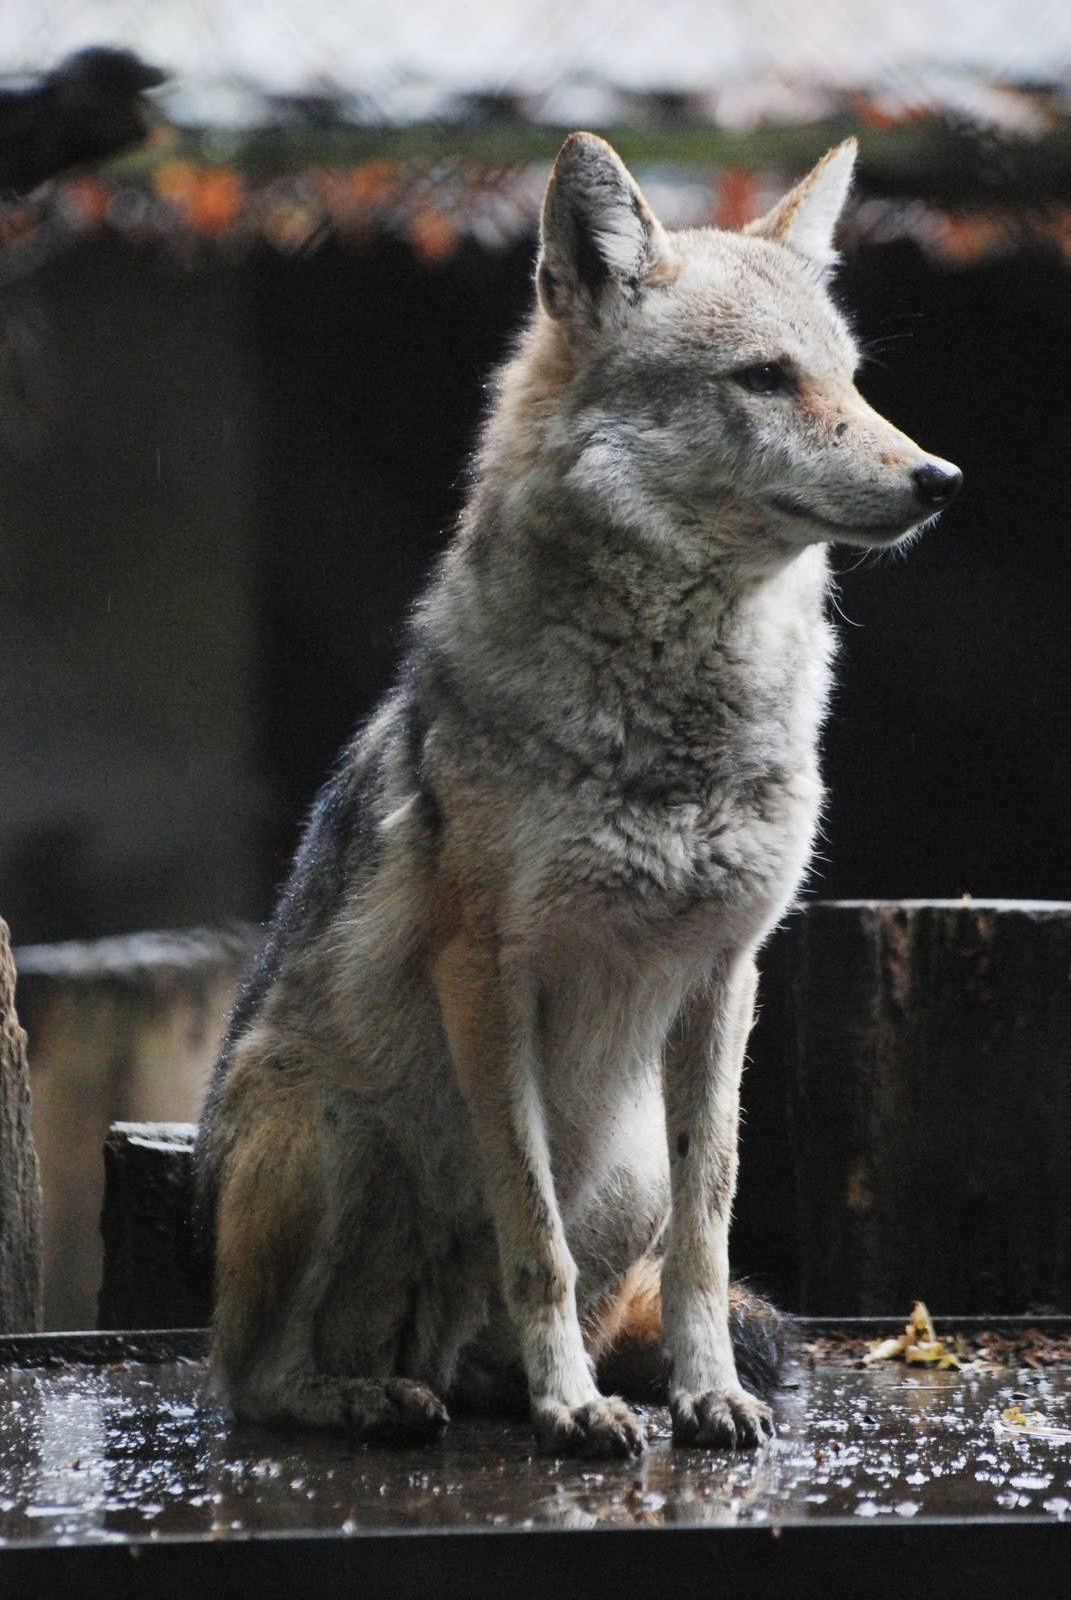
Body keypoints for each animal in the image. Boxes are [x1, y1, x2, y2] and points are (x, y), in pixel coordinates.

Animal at [195, 133, 961, 1460]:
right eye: (765, 379)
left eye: (850, 381)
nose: (939, 476)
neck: (681, 710)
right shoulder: (487, 974)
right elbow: (530, 1230)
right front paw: (573, 1409)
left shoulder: (726, 973)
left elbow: (708, 1239)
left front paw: (709, 1393)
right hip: (328, 1140)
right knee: (258, 1377)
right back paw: (378, 1396)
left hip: (625, 1164)